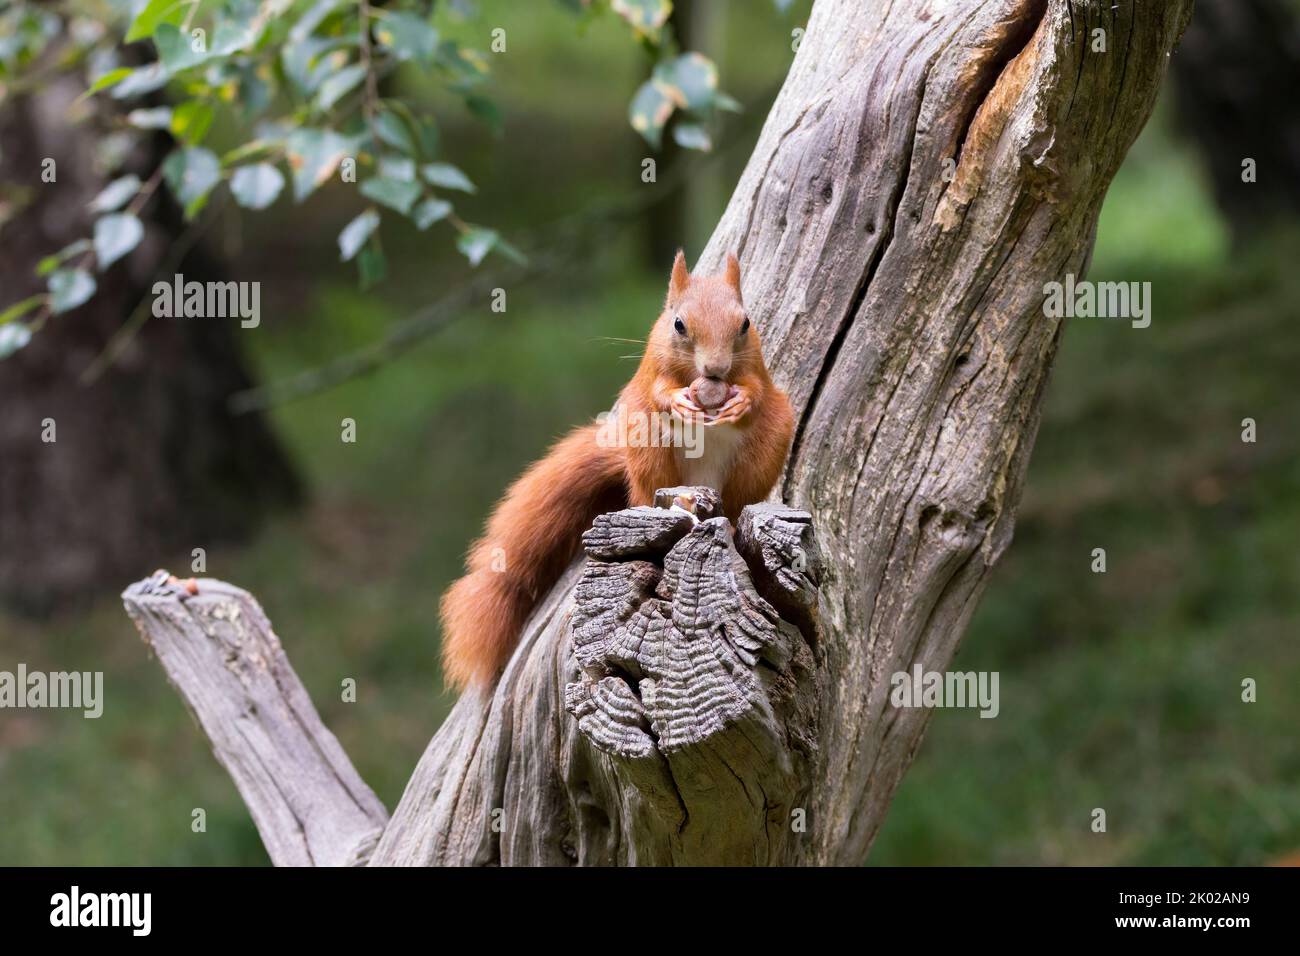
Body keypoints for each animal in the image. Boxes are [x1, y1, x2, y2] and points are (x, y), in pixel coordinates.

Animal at [441, 252, 795, 686]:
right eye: (678, 324)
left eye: (745, 324)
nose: (714, 368)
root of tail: (702, 485)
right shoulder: (653, 365)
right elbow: (659, 391)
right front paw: (679, 399)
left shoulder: (756, 365)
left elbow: (756, 389)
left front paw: (740, 400)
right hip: (646, 450)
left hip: (767, 444)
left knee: (739, 497)